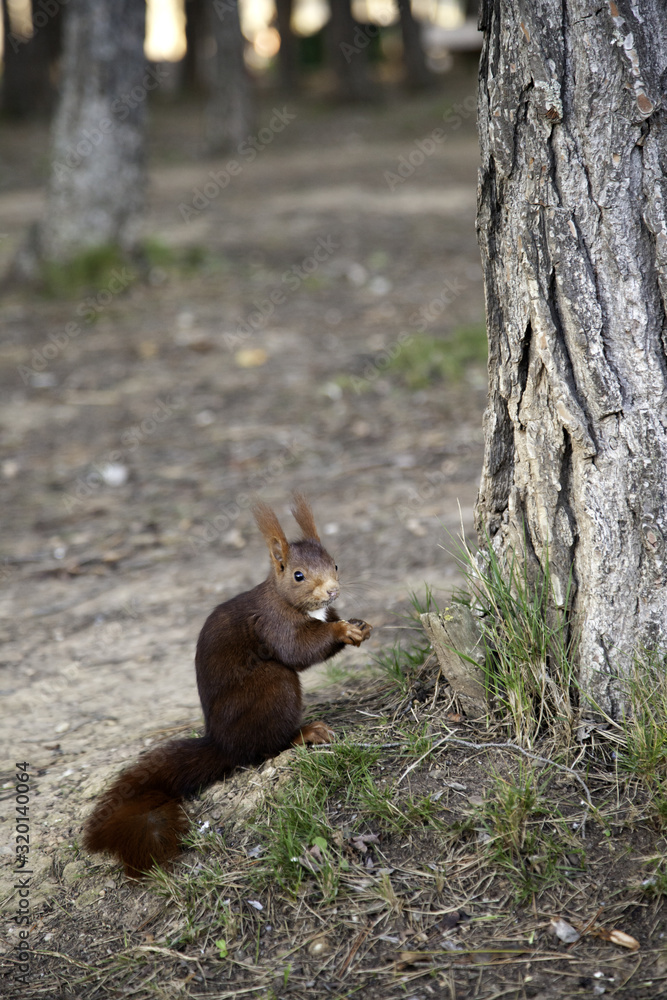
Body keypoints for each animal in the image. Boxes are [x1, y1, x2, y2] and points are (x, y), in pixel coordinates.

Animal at [83, 493, 372, 878]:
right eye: (298, 575)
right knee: (265, 747)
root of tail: (221, 744)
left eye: (336, 564)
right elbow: (298, 651)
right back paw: (305, 733)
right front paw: (341, 630)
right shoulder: (273, 624)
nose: (333, 590)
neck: (294, 604)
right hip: (273, 687)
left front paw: (359, 627)